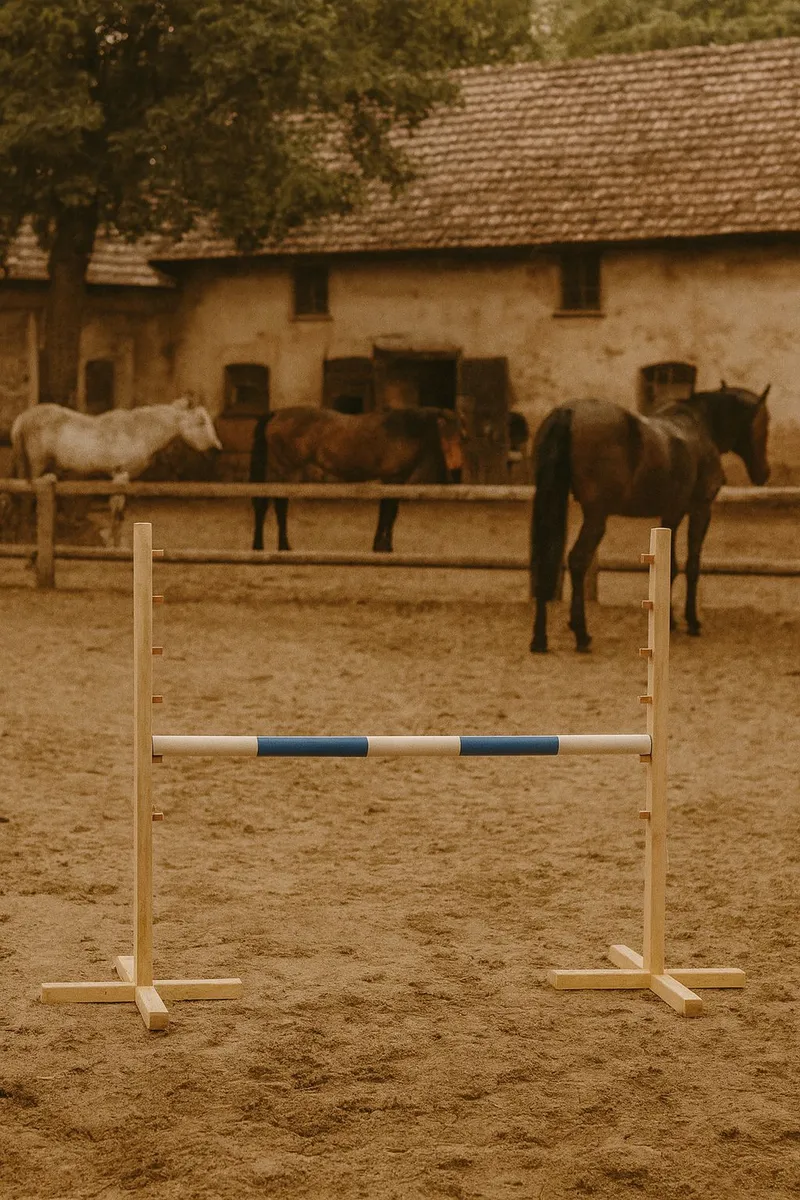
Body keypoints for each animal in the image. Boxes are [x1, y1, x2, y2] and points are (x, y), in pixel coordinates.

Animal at [10, 397, 222, 545]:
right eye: (201, 422)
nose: (216, 450)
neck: (138, 432)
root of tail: (22, 418)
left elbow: (119, 510)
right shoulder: (121, 475)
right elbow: (117, 510)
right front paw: (114, 543)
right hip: (37, 467)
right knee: (29, 498)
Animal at [250, 405, 463, 552]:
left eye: (462, 437)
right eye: (444, 435)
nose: (457, 470)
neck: (401, 430)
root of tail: (277, 414)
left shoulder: (391, 480)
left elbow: (386, 512)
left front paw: (379, 545)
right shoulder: (393, 479)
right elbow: (389, 513)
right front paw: (385, 546)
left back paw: (264, 545)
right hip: (285, 471)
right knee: (279, 505)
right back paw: (281, 545)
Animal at [529, 383, 771, 653]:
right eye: (765, 422)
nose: (764, 473)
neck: (699, 425)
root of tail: (568, 412)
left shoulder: (670, 514)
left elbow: (671, 566)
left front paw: (672, 622)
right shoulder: (699, 510)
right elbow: (691, 566)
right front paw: (691, 622)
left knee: (544, 559)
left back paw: (540, 639)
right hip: (596, 516)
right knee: (578, 560)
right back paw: (581, 634)